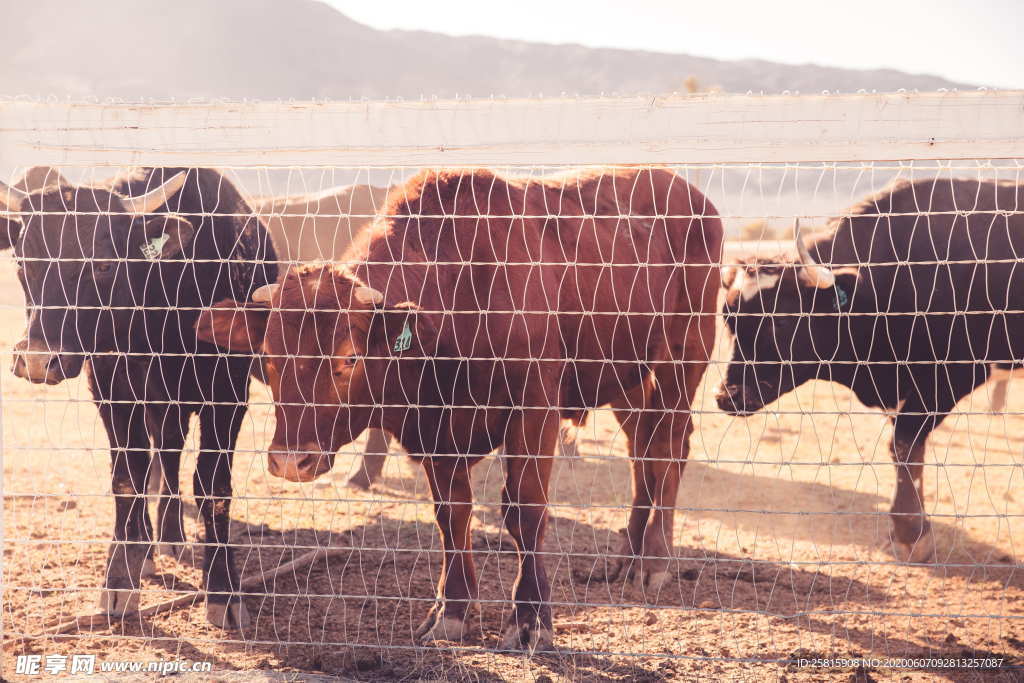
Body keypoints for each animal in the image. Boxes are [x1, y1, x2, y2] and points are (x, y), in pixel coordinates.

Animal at [0, 167, 276, 626]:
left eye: (103, 264)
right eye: (23, 263)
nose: (38, 360)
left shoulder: (230, 392)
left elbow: (213, 485)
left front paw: (223, 589)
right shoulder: (111, 387)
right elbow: (127, 476)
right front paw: (119, 579)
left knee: (170, 453)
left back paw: (168, 536)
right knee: (158, 455)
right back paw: (140, 546)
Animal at [195, 166, 724, 651]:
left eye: (348, 358)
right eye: (267, 358)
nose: (291, 460)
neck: (462, 290)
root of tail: (693, 196)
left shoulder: (534, 408)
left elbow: (525, 511)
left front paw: (531, 620)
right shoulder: (436, 432)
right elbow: (452, 514)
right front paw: (450, 611)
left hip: (683, 359)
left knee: (667, 452)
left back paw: (655, 562)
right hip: (626, 378)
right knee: (641, 453)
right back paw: (625, 558)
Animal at [716, 179, 1019, 565]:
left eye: (781, 321)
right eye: (729, 318)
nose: (727, 396)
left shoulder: (949, 376)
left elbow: (903, 443)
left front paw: (910, 533)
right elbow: (907, 452)